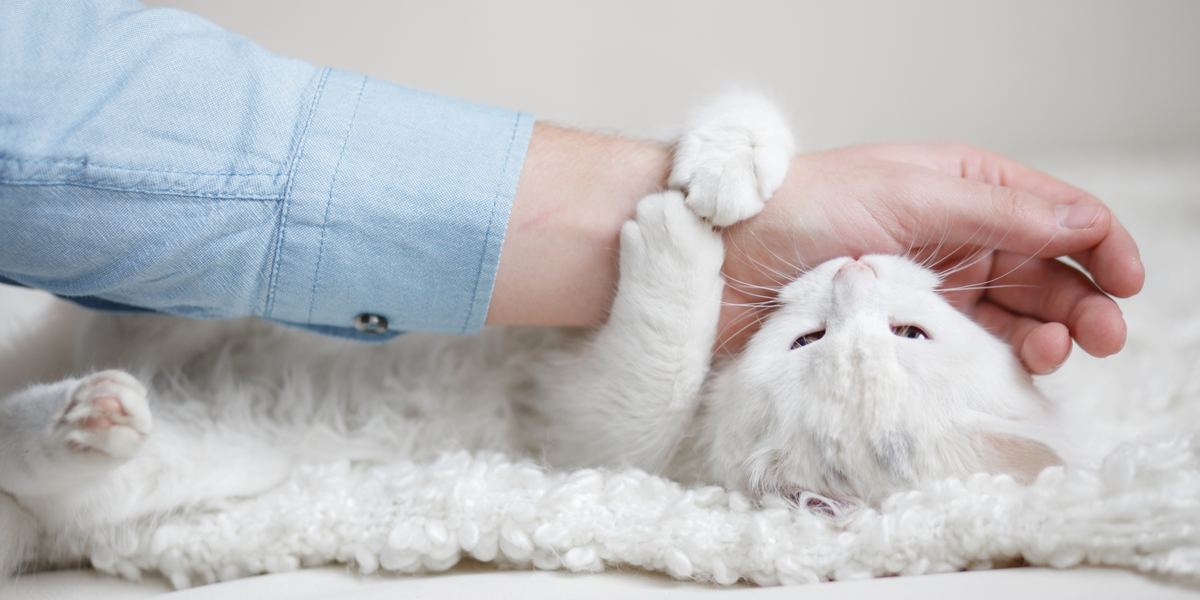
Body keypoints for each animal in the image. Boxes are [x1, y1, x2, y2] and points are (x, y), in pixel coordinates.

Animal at [0, 93, 1060, 576]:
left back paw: (93, 414)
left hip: (195, 467)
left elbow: (648, 371)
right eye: (911, 331)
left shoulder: (595, 436)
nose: (848, 272)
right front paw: (730, 155)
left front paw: (677, 241)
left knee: (38, 457)